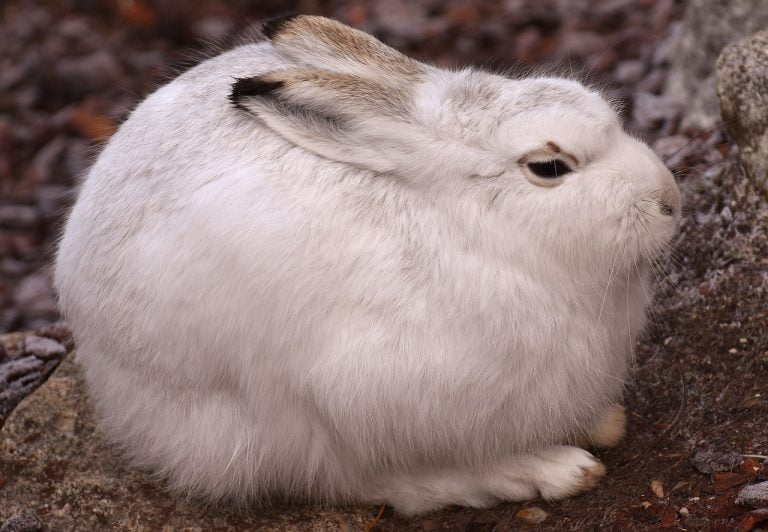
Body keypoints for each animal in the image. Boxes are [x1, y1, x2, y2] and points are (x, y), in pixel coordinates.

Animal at [54, 15, 680, 515]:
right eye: (549, 167)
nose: (671, 200)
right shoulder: (372, 391)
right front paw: (555, 463)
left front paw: (601, 421)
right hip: (278, 423)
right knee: (371, 483)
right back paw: (552, 469)